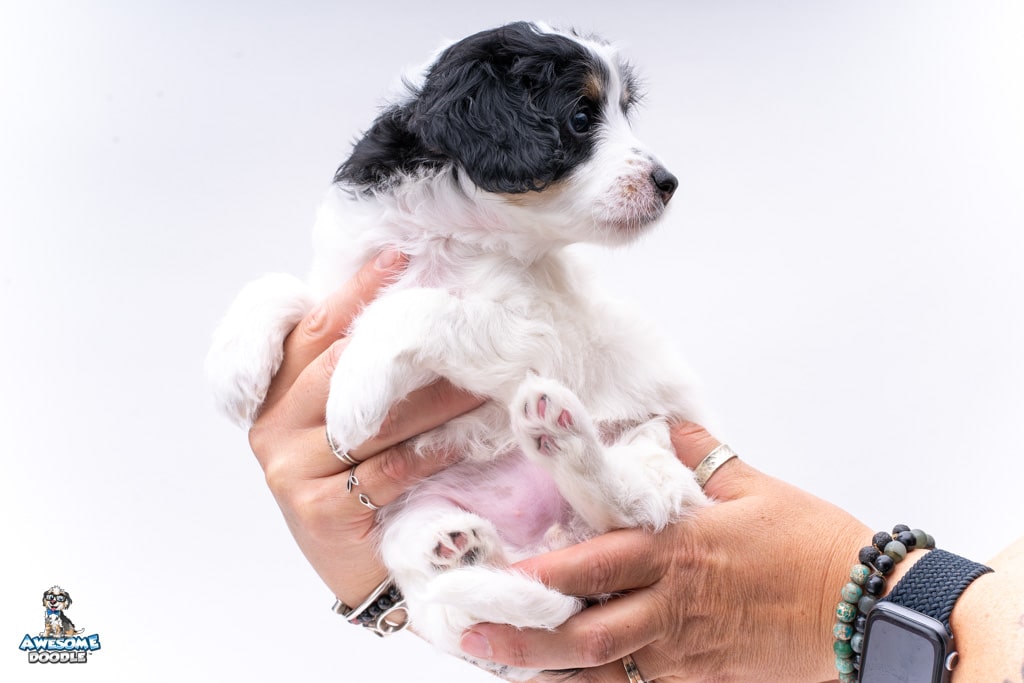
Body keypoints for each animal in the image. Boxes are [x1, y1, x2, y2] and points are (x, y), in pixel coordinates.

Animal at [203, 20, 708, 679]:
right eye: (580, 118)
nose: (668, 183)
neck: (446, 230)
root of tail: (554, 534)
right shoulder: (342, 283)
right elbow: (282, 288)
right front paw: (232, 371)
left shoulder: (538, 331)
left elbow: (418, 307)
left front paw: (352, 396)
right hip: (411, 518)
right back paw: (461, 548)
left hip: (651, 447)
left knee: (628, 509)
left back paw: (562, 438)